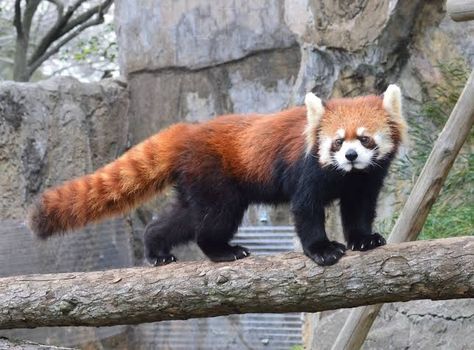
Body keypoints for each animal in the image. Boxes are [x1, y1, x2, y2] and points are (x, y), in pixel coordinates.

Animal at [25, 85, 406, 266]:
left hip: (194, 182)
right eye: (337, 142)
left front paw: (364, 239)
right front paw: (322, 250)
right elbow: (306, 210)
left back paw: (156, 248)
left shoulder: (366, 179)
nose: (351, 156)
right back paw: (223, 251)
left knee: (182, 218)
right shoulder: (308, 169)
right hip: (215, 177)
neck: (346, 175)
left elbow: (359, 207)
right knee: (212, 220)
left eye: (365, 139)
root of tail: (188, 132)